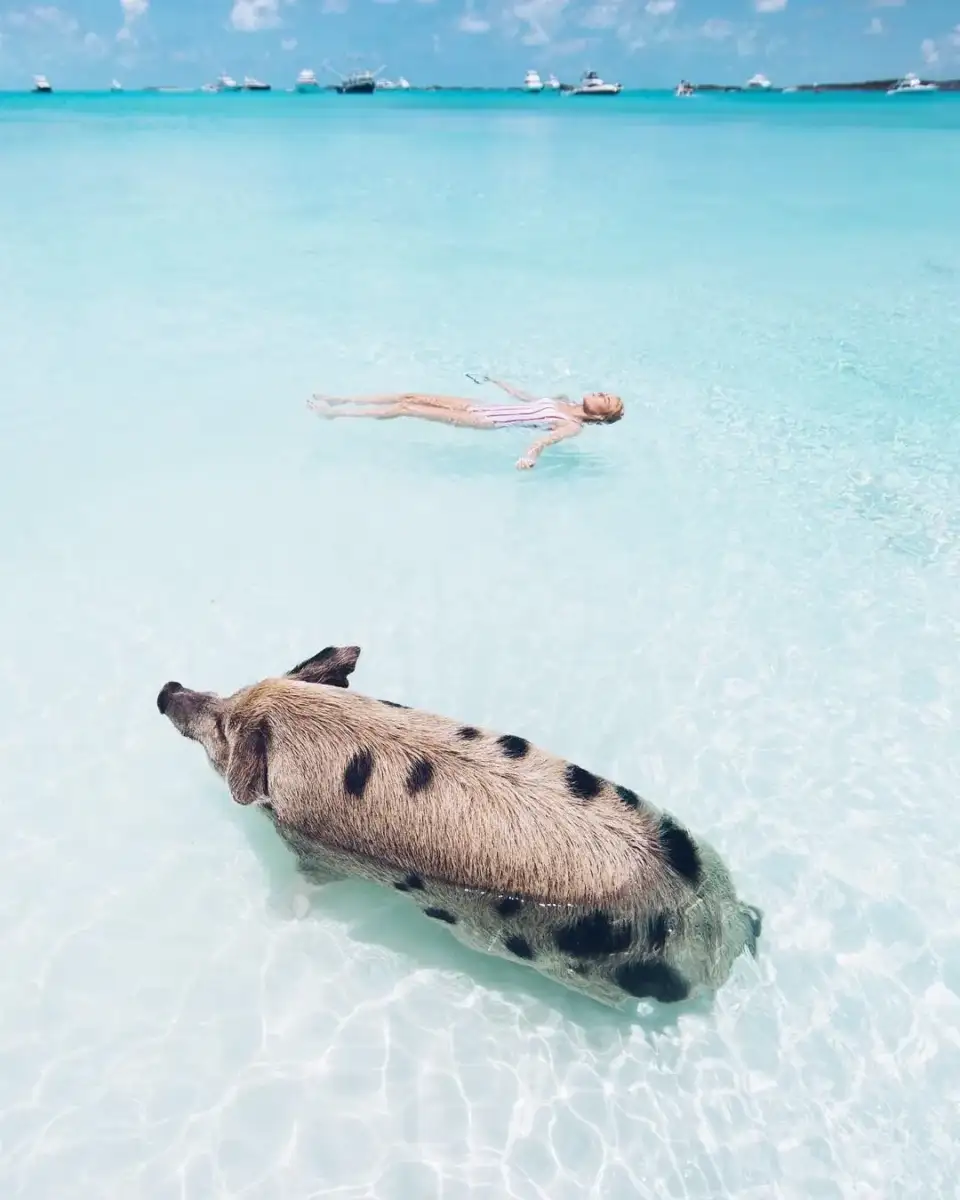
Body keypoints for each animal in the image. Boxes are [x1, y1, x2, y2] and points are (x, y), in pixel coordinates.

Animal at [157, 646, 761, 1008]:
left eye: (222, 729)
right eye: (232, 693)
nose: (166, 690)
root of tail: (722, 926)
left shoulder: (315, 850)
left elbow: (307, 883)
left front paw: (283, 912)